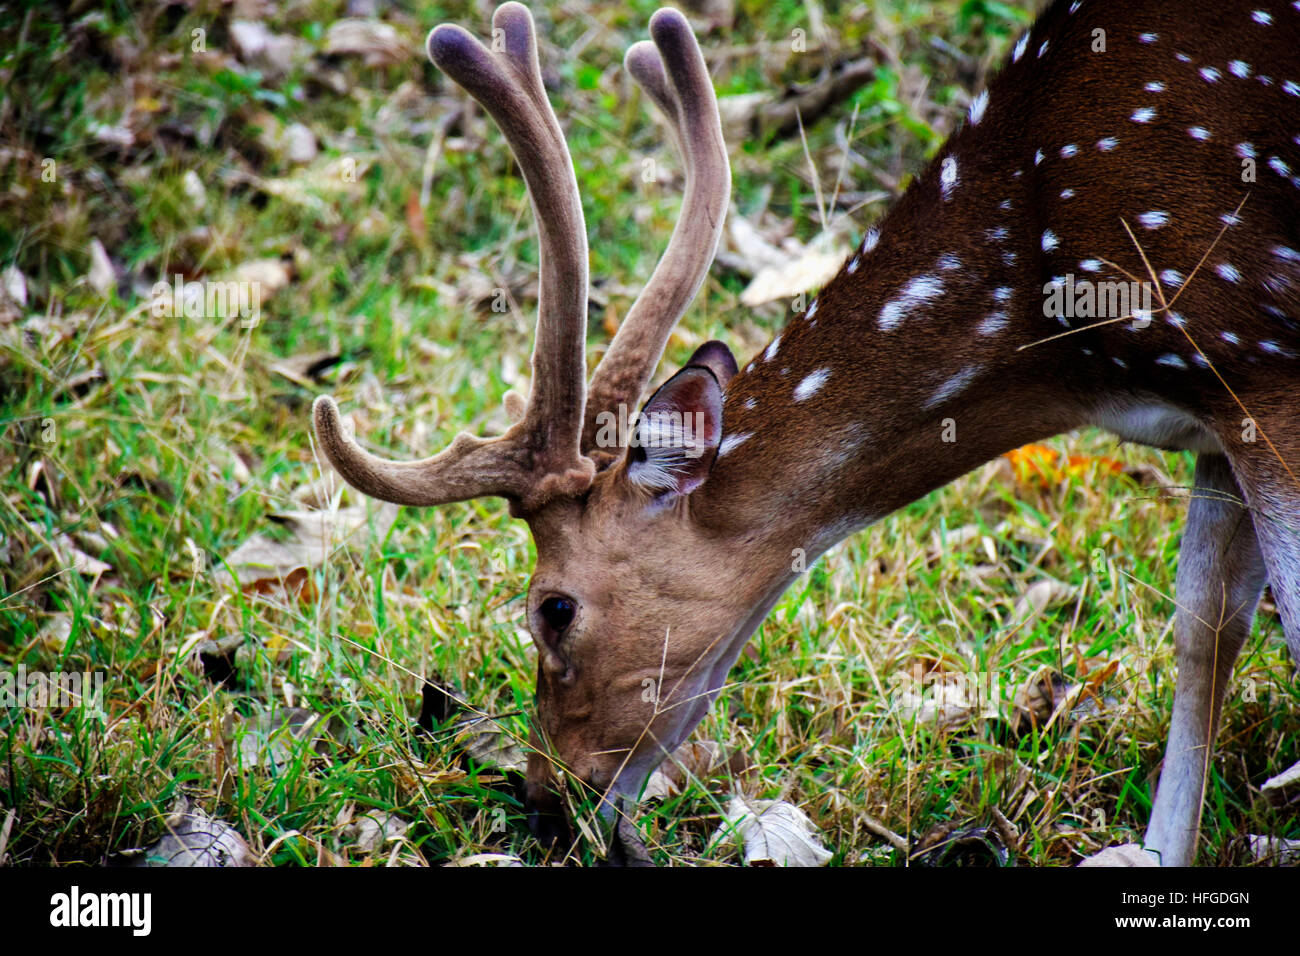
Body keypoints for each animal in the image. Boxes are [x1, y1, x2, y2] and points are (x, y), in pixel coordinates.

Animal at [314, 0, 1300, 868]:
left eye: (552, 608)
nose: (545, 798)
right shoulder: (1214, 416)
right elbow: (1205, 628)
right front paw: (1160, 850)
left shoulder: (1260, 355)